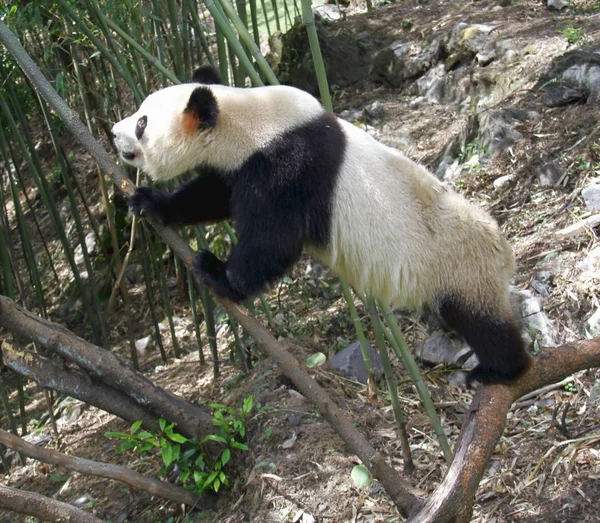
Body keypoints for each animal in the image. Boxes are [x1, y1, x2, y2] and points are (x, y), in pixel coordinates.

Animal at [111, 65, 528, 386]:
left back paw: (498, 371)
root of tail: (506, 253)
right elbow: (212, 196)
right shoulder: (241, 164)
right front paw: (149, 203)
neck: (245, 120)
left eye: (143, 123)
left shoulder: (286, 166)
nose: (114, 131)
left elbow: (272, 239)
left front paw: (217, 273)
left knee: (485, 325)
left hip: (459, 268)